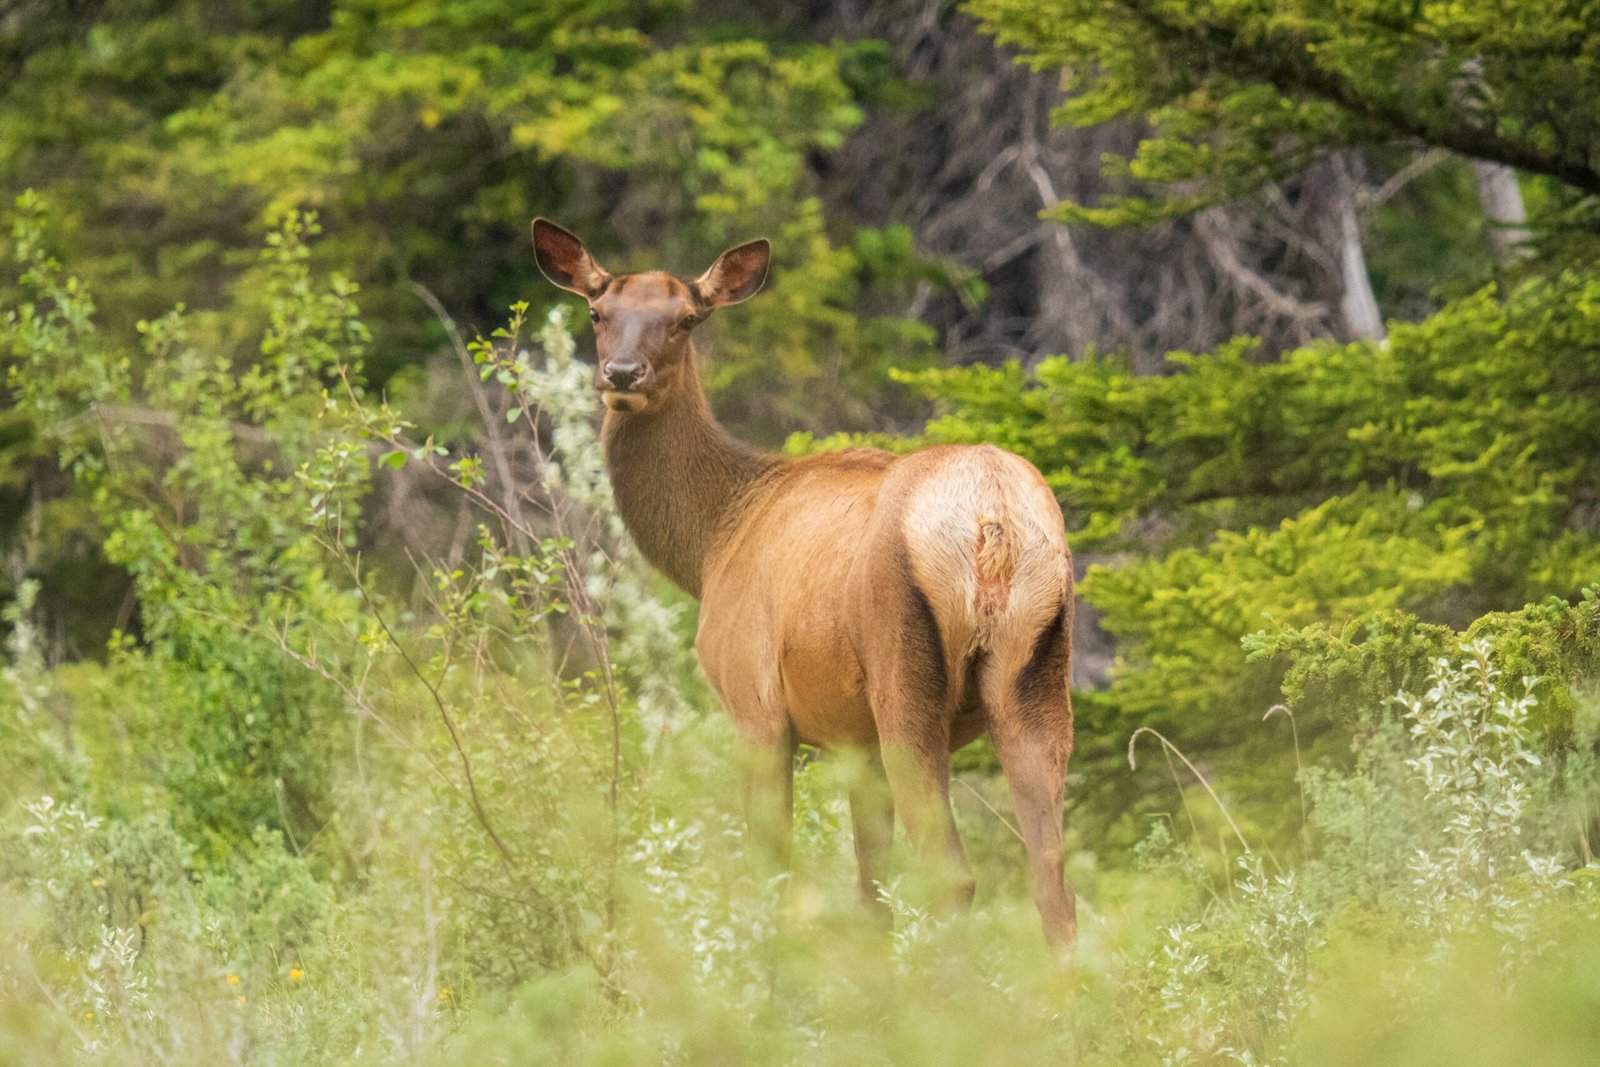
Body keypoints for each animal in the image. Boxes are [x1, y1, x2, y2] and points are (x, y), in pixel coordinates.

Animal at [534, 220, 1075, 947]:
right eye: (598, 312)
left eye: (685, 319)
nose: (621, 373)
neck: (712, 540)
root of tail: (993, 520)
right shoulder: (855, 743)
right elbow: (870, 889)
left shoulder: (754, 703)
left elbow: (772, 872)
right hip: (1038, 670)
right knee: (1053, 884)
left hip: (904, 675)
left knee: (953, 875)